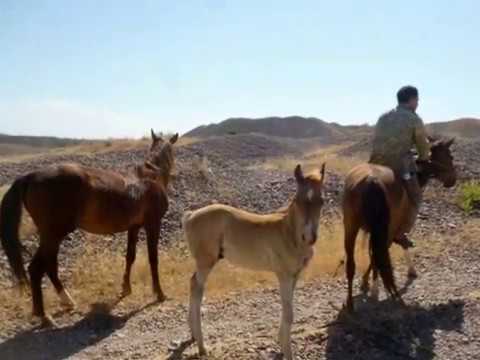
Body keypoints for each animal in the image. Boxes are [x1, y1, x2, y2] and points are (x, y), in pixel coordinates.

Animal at [0, 130, 178, 326]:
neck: (150, 177)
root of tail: (30, 176)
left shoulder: (134, 227)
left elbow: (130, 257)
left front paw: (126, 289)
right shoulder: (153, 224)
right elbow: (153, 259)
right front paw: (159, 294)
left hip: (51, 236)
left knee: (50, 266)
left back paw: (67, 301)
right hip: (54, 234)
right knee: (36, 268)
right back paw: (44, 315)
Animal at [344, 138, 456, 312]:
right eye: (450, 156)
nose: (452, 180)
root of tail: (371, 180)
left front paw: (365, 282)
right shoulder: (391, 230)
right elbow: (387, 250)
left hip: (350, 225)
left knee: (351, 262)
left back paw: (350, 304)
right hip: (384, 228)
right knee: (379, 255)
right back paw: (375, 291)